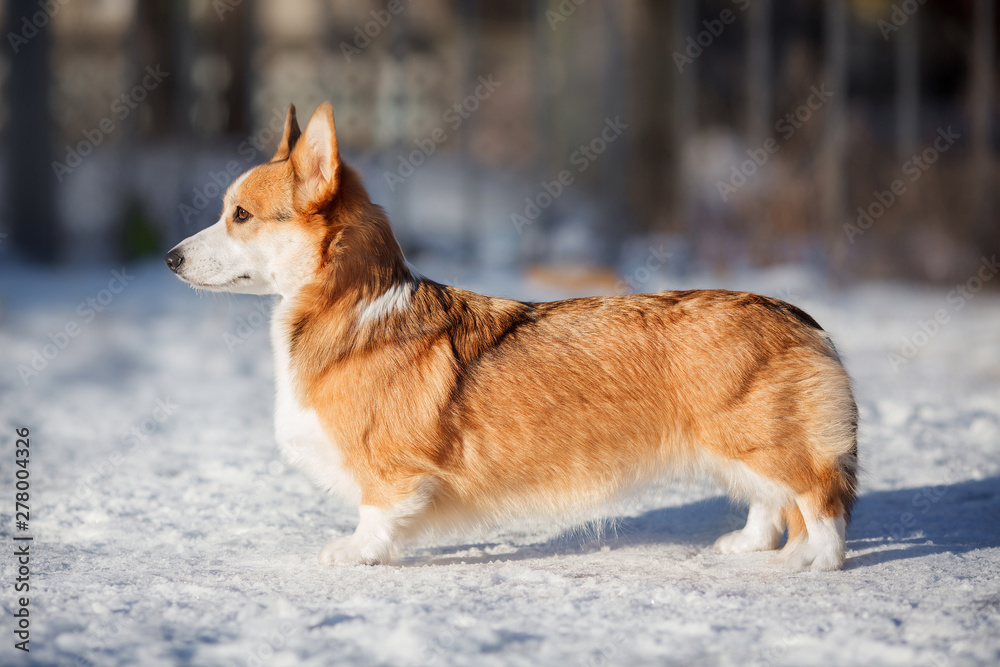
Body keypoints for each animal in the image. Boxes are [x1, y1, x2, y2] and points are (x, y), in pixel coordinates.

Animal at [166, 104, 860, 576]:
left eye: (241, 216)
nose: (170, 259)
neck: (353, 306)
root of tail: (799, 317)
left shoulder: (391, 473)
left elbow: (376, 514)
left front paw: (356, 552)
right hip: (736, 449)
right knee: (771, 505)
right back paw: (749, 546)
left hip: (761, 441)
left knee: (818, 500)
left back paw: (810, 562)